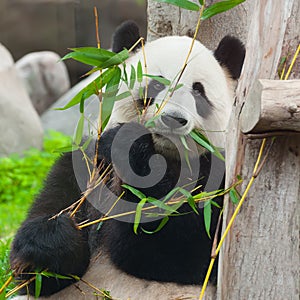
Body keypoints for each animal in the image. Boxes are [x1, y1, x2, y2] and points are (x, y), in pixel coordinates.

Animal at [9, 21, 244, 300]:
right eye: (156, 86)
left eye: (198, 92)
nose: (173, 119)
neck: (166, 157)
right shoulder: (85, 165)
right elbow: (42, 271)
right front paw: (51, 236)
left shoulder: (218, 179)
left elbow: (184, 251)